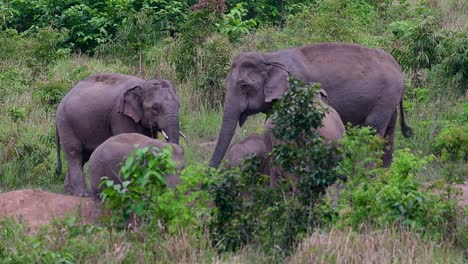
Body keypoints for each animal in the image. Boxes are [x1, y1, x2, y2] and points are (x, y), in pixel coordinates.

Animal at [210, 42, 412, 168]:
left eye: (244, 86)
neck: (269, 57)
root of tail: (398, 67)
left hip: (384, 99)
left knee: (373, 130)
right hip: (388, 101)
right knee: (389, 134)